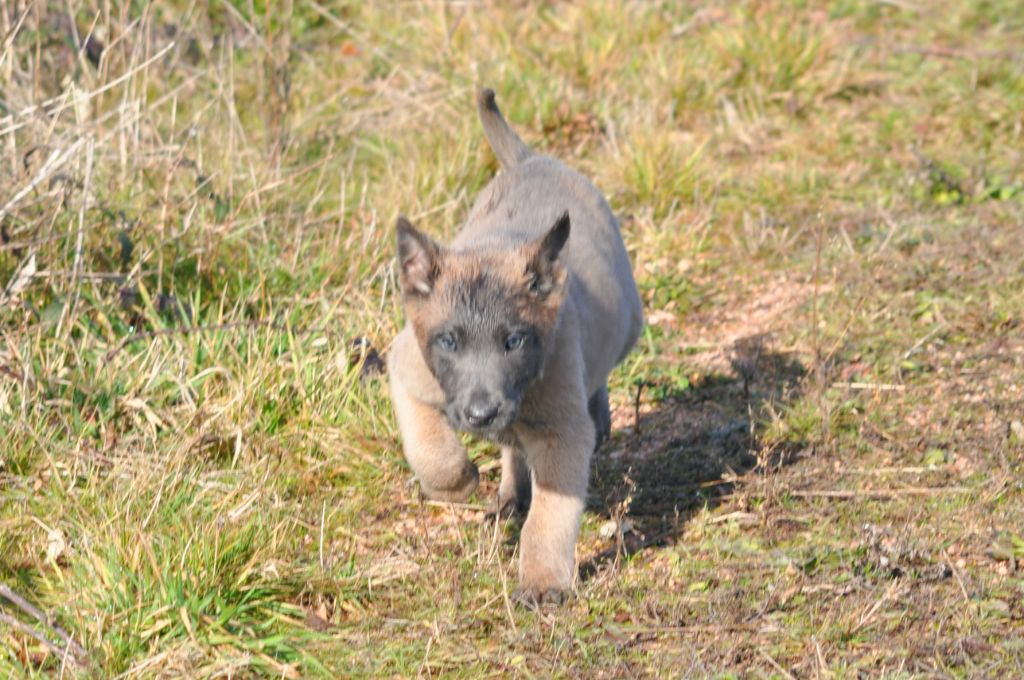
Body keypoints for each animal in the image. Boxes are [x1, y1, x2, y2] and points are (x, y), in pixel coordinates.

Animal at [387, 87, 643, 602]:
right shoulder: (408, 371)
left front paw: (543, 583)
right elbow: (428, 446)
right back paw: (508, 494)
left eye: (514, 341)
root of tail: (531, 159)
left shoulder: (563, 433)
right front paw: (456, 482)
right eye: (449, 341)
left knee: (597, 379)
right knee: (513, 450)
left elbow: (549, 518)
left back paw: (599, 415)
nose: (481, 415)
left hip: (628, 322)